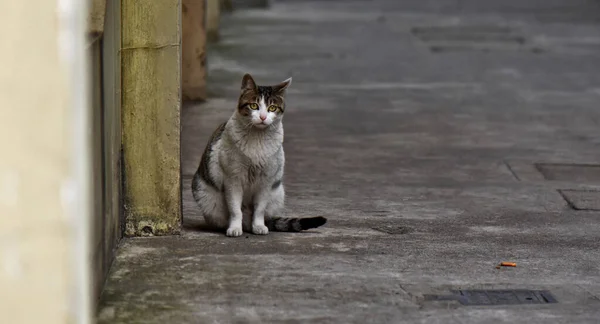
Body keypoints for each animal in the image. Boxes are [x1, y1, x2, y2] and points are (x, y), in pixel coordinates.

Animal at [192, 73, 326, 237]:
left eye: (272, 108)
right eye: (254, 106)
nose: (262, 117)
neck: (257, 138)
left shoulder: (266, 180)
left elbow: (260, 208)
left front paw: (259, 226)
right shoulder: (233, 179)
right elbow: (235, 209)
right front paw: (234, 228)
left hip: (277, 193)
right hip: (207, 196)